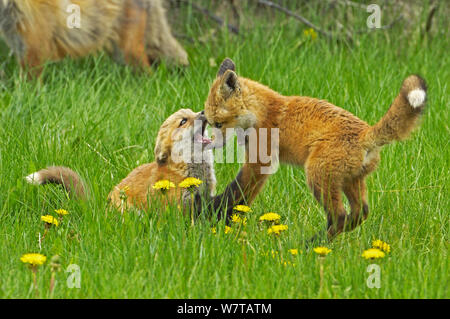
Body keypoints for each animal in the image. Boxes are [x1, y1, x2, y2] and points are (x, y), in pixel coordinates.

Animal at [206, 58, 428, 242]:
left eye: (218, 124)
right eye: (209, 122)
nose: (210, 143)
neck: (263, 112)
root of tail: (365, 133)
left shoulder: (260, 162)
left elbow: (238, 190)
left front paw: (219, 214)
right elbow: (241, 193)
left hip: (317, 176)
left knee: (339, 217)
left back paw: (311, 245)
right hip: (350, 181)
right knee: (359, 214)